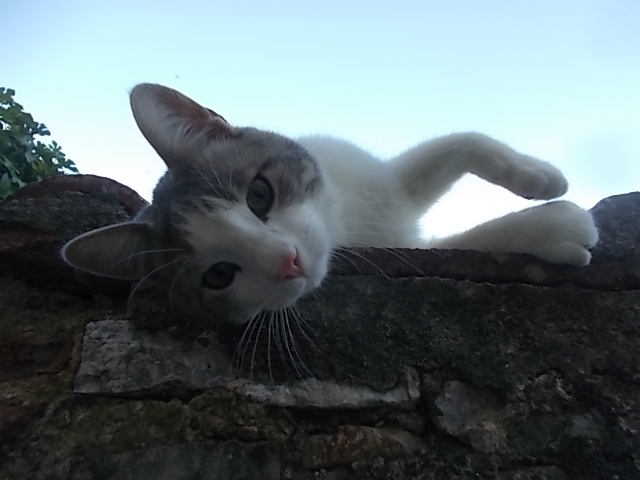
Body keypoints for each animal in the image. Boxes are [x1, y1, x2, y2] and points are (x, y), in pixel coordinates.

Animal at [62, 83, 598, 326]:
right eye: (219, 275)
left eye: (259, 194)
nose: (288, 261)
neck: (345, 222)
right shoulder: (408, 247)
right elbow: (471, 242)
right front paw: (556, 226)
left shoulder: (386, 187)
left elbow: (463, 141)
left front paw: (540, 177)